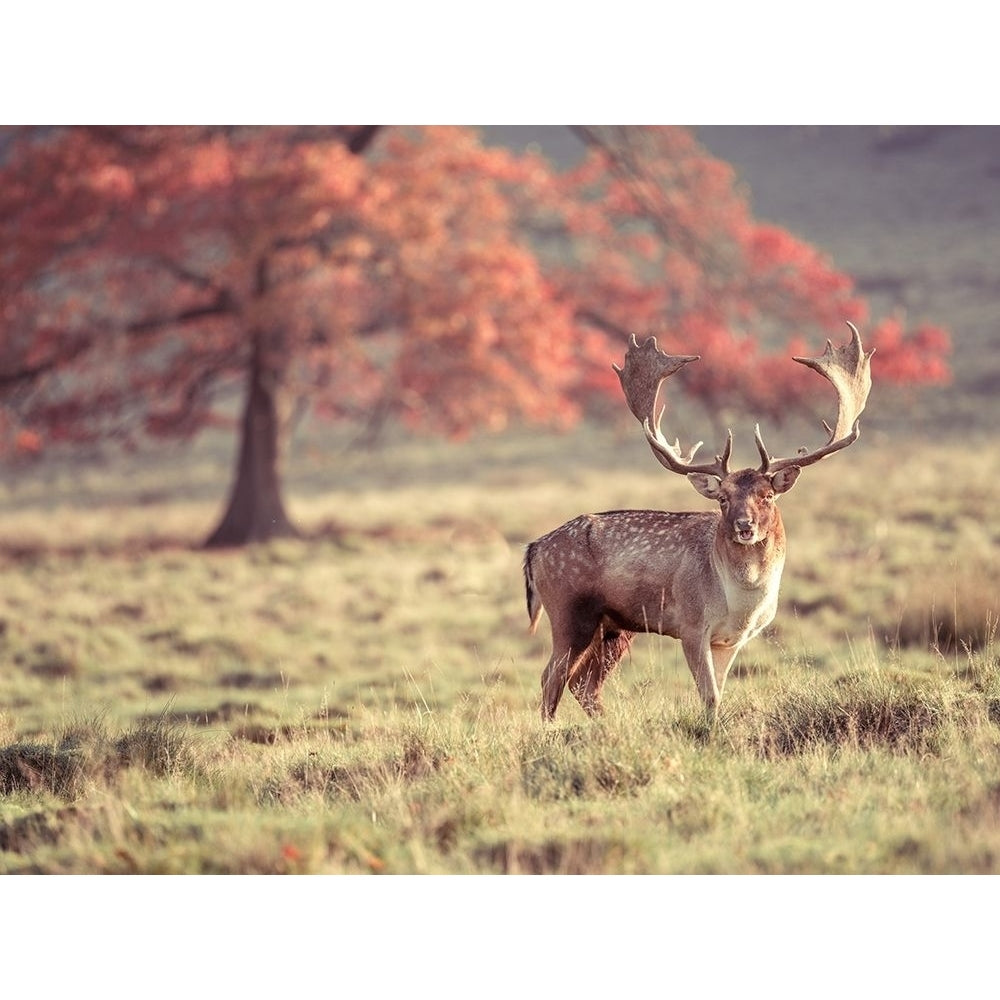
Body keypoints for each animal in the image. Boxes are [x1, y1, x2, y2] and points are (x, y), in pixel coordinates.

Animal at [528, 324, 872, 724]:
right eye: (723, 498)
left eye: (767, 495)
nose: (743, 526)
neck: (741, 604)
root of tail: (534, 549)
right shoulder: (691, 626)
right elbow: (709, 696)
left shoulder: (730, 640)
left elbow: (718, 694)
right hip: (570, 611)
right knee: (552, 676)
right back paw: (551, 730)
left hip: (614, 627)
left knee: (584, 683)